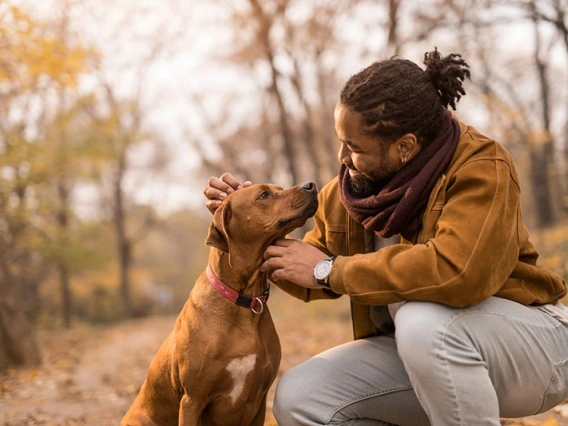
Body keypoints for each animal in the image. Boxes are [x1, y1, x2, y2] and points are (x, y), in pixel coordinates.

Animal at [122, 182, 318, 426]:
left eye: (280, 188)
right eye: (264, 195)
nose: (311, 185)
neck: (243, 300)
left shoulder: (260, 399)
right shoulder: (192, 400)